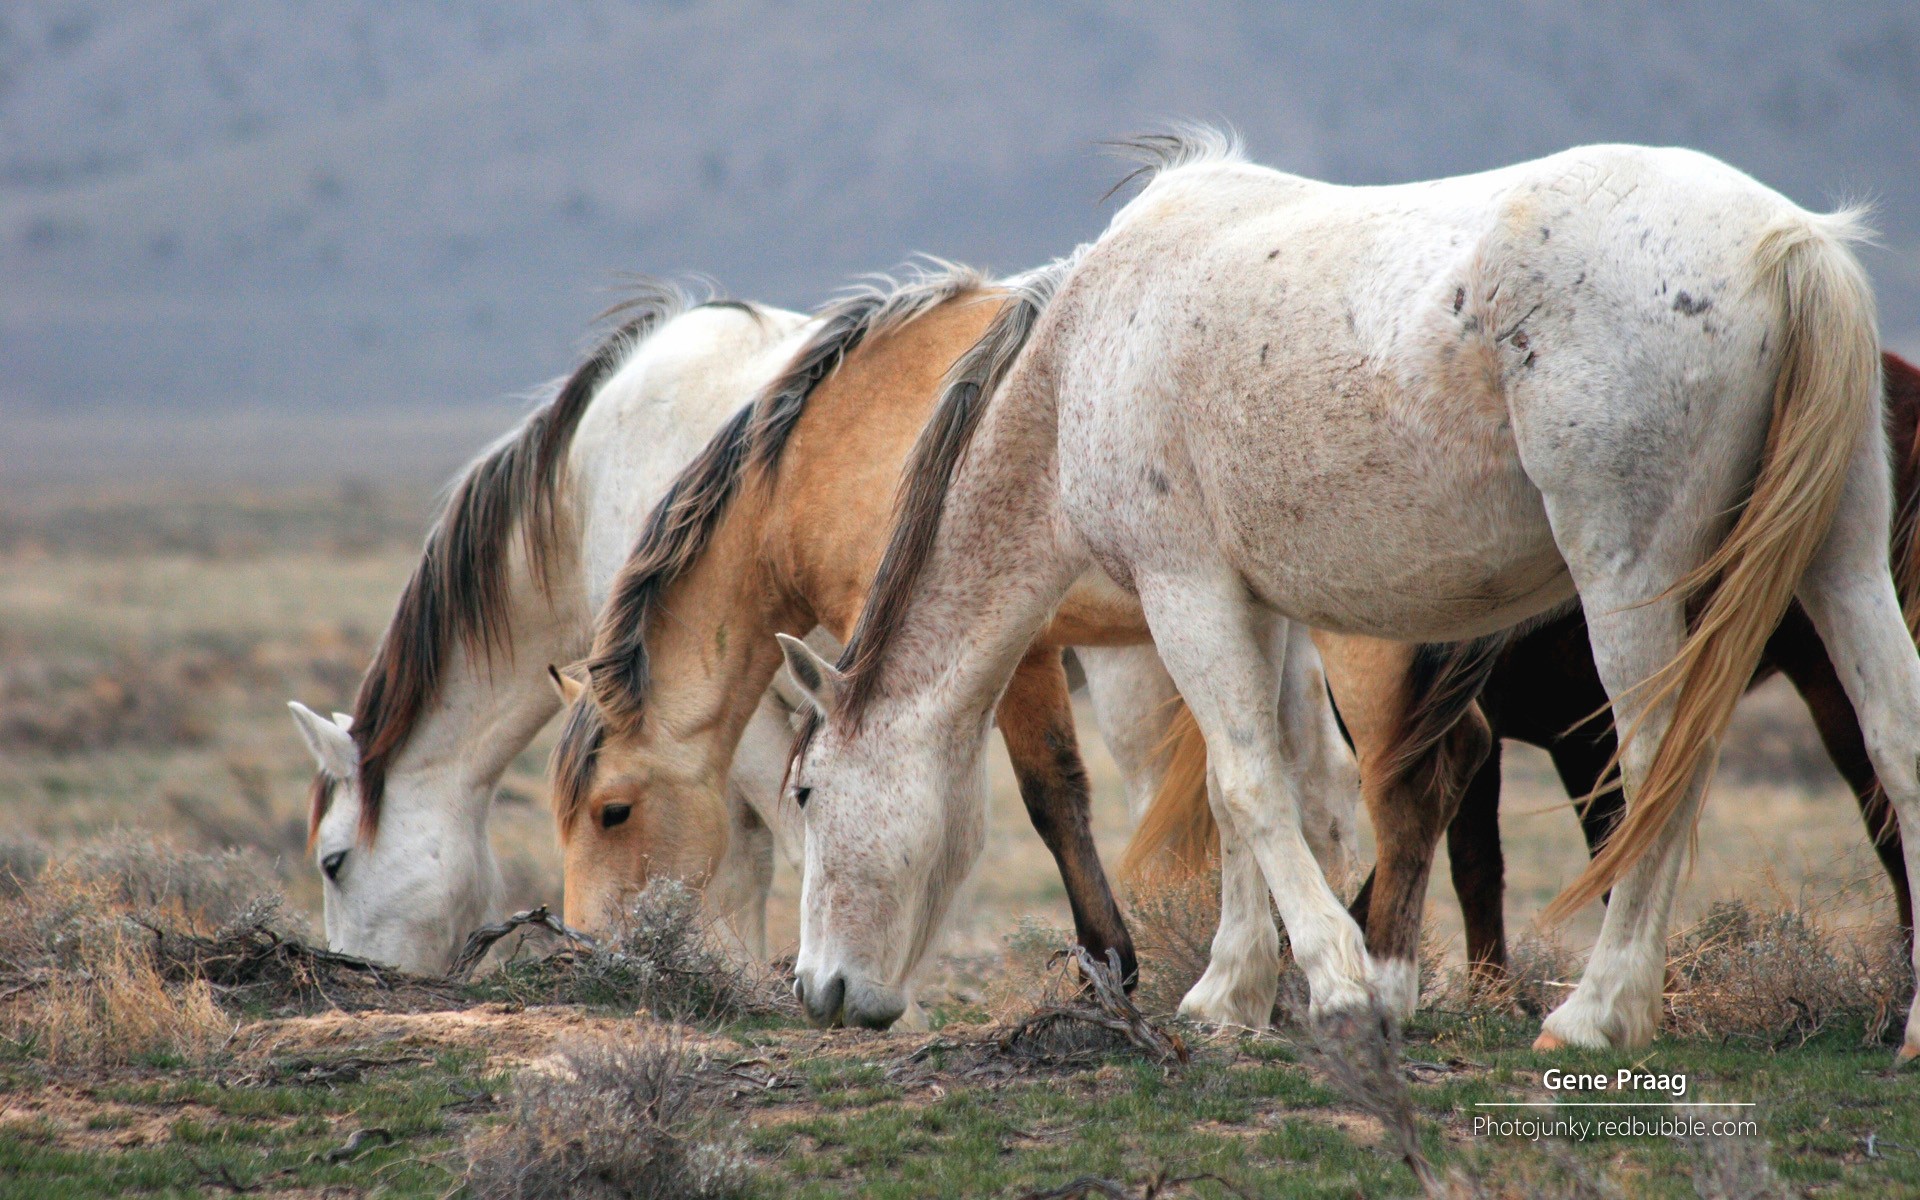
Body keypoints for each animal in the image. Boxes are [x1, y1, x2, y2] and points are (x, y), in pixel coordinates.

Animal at [1128, 350, 1920, 991]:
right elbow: (1486, 857)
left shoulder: (1559, 734)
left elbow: (1545, 851)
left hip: (1823, 680)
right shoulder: (1529, 734)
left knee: (1882, 809)